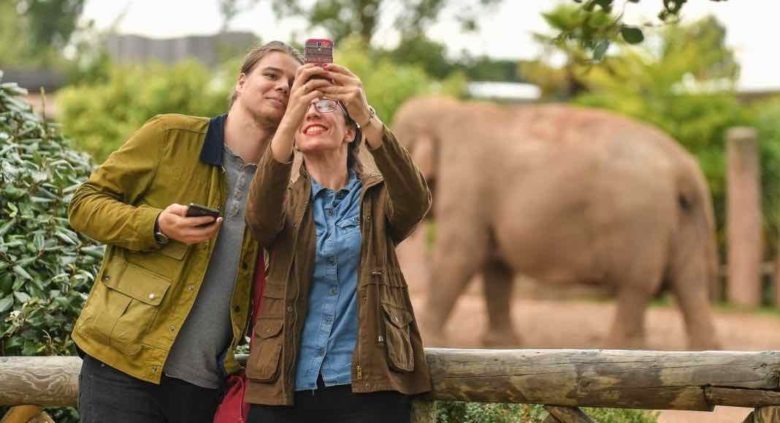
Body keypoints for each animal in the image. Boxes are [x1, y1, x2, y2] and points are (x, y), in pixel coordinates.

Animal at [394, 96, 724, 352]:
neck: (450, 111)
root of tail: (685, 168)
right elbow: (496, 267)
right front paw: (501, 344)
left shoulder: (466, 178)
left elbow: (461, 254)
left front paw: (433, 338)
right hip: (686, 220)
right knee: (690, 283)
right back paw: (702, 351)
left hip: (640, 219)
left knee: (637, 283)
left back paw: (624, 347)